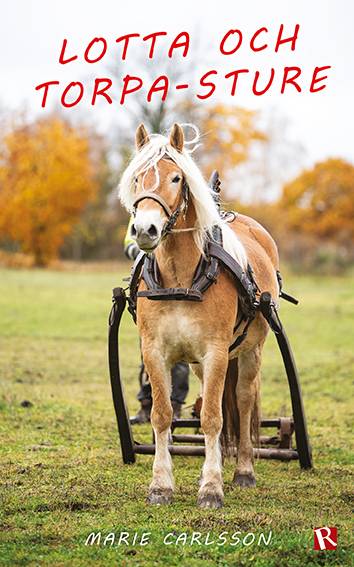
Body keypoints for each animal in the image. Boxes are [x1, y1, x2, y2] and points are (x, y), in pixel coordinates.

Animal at [119, 124, 280, 510]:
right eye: (137, 178)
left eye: (176, 178)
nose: (144, 229)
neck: (181, 278)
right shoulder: (155, 352)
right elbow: (163, 414)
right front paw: (161, 485)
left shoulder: (216, 352)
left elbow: (212, 418)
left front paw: (211, 487)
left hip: (250, 351)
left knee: (242, 399)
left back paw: (243, 470)